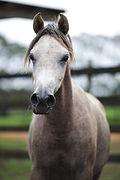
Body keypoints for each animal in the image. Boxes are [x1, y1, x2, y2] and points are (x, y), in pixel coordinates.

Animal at [24, 12, 110, 180]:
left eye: (65, 57)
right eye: (32, 56)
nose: (42, 100)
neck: (61, 131)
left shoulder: (85, 172)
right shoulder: (38, 171)